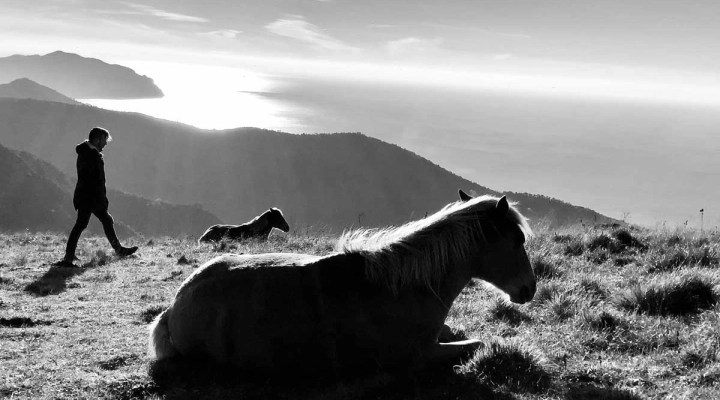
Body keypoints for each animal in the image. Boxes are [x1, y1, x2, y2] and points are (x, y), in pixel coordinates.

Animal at [150, 191, 536, 376]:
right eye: (517, 238)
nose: (529, 289)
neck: (403, 287)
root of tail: (174, 307)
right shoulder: (422, 355)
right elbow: (476, 343)